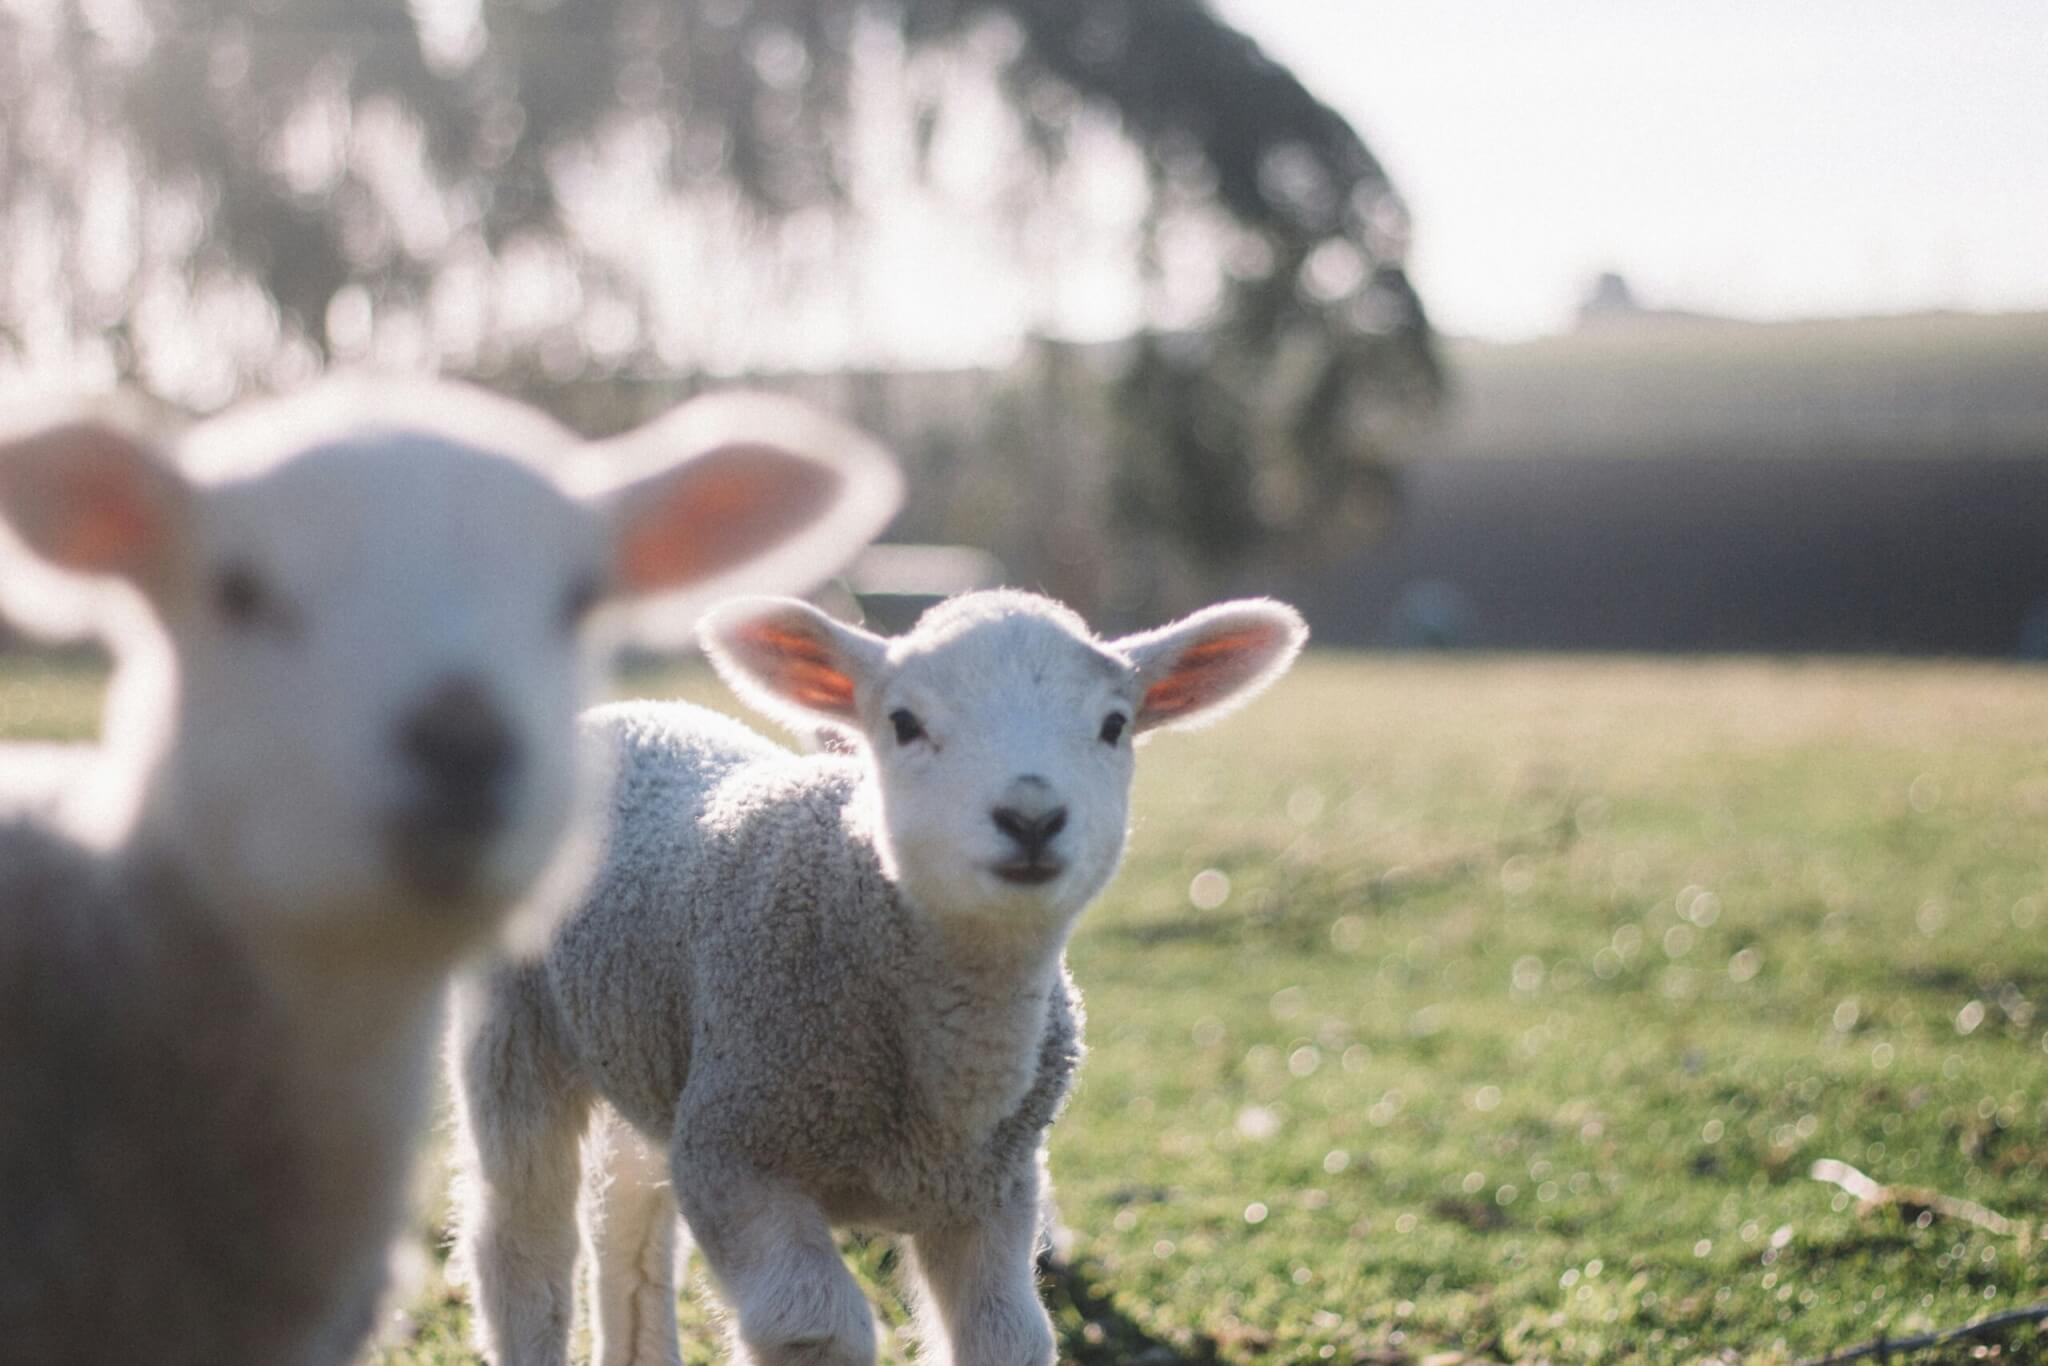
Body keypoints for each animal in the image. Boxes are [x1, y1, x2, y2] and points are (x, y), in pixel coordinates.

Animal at [451, 587, 1307, 1366]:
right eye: (904, 723)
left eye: (1113, 725)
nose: (1031, 818)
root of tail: (628, 712)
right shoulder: (736, 1153)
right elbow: (815, 1326)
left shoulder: (994, 1192)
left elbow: (1008, 1337)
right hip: (514, 1027)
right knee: (521, 1239)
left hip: (650, 1044)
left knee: (627, 1219)